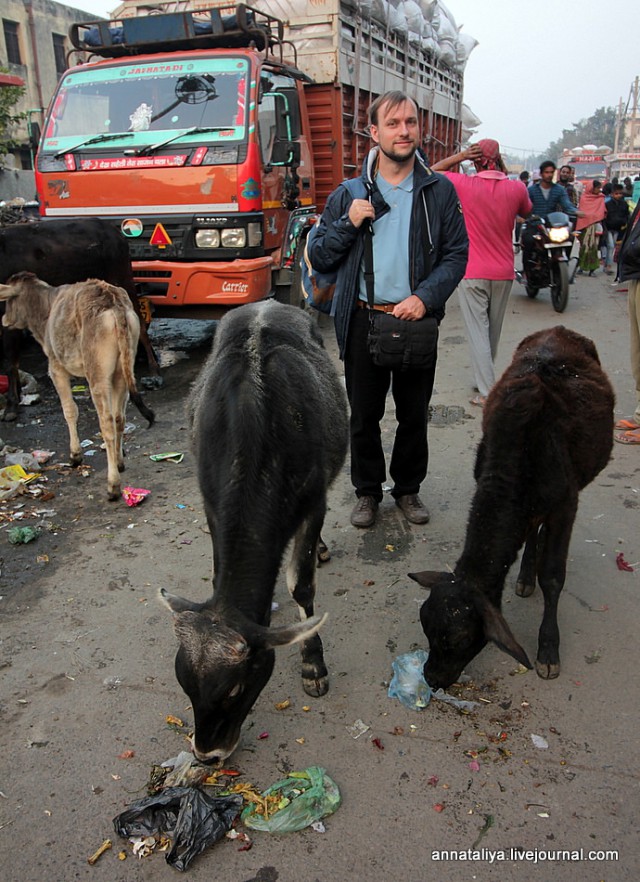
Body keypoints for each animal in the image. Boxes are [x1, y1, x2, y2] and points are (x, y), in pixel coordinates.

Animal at [0, 215, 160, 418]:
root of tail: (112, 229)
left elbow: (10, 361)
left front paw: (11, 406)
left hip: (123, 280)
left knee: (141, 326)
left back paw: (154, 369)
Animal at [0, 270, 155, 502]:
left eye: (9, 300)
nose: (4, 320)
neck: (45, 307)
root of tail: (113, 301)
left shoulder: (56, 368)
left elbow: (70, 410)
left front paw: (75, 455)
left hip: (97, 374)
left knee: (107, 423)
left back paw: (113, 485)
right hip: (122, 369)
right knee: (119, 417)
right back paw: (119, 462)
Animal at [162, 300, 348, 760]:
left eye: (235, 689)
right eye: (184, 683)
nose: (207, 754)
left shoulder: (313, 502)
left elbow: (302, 587)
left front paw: (313, 664)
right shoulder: (212, 506)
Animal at [410, 326, 616, 692]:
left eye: (460, 639)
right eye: (426, 627)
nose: (432, 677)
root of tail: (560, 330)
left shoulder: (566, 506)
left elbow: (553, 577)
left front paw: (548, 649)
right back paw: (524, 575)